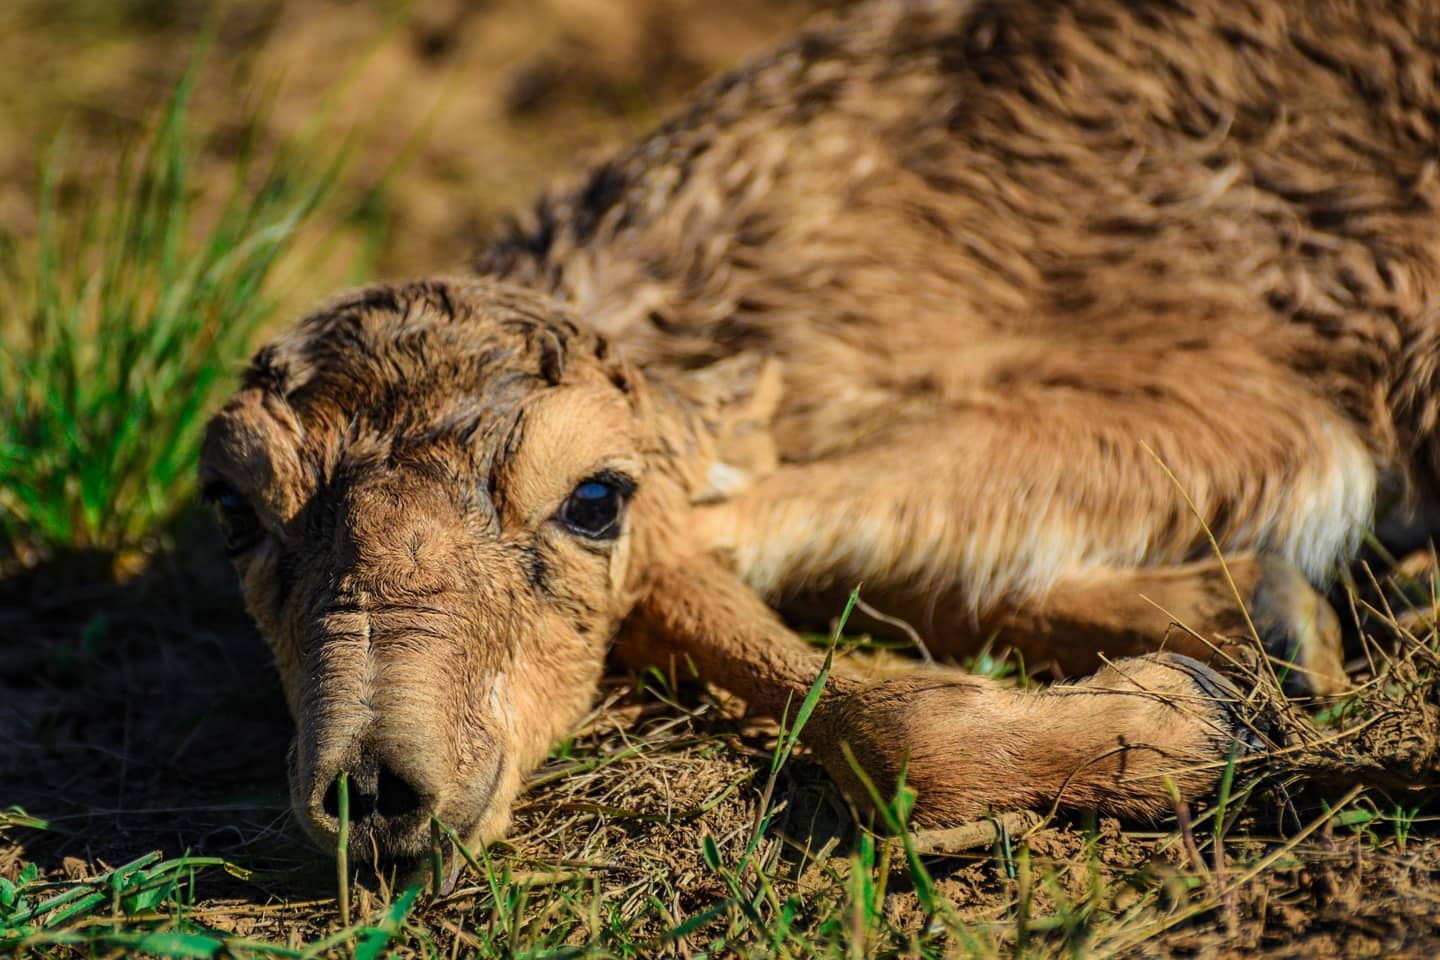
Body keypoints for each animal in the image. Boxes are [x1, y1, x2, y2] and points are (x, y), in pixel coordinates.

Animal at [194, 0, 1440, 857]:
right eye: (234, 512)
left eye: (592, 497)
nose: (372, 787)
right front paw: (1235, 635)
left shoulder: (1239, 394)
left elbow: (709, 545)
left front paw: (1191, 708)